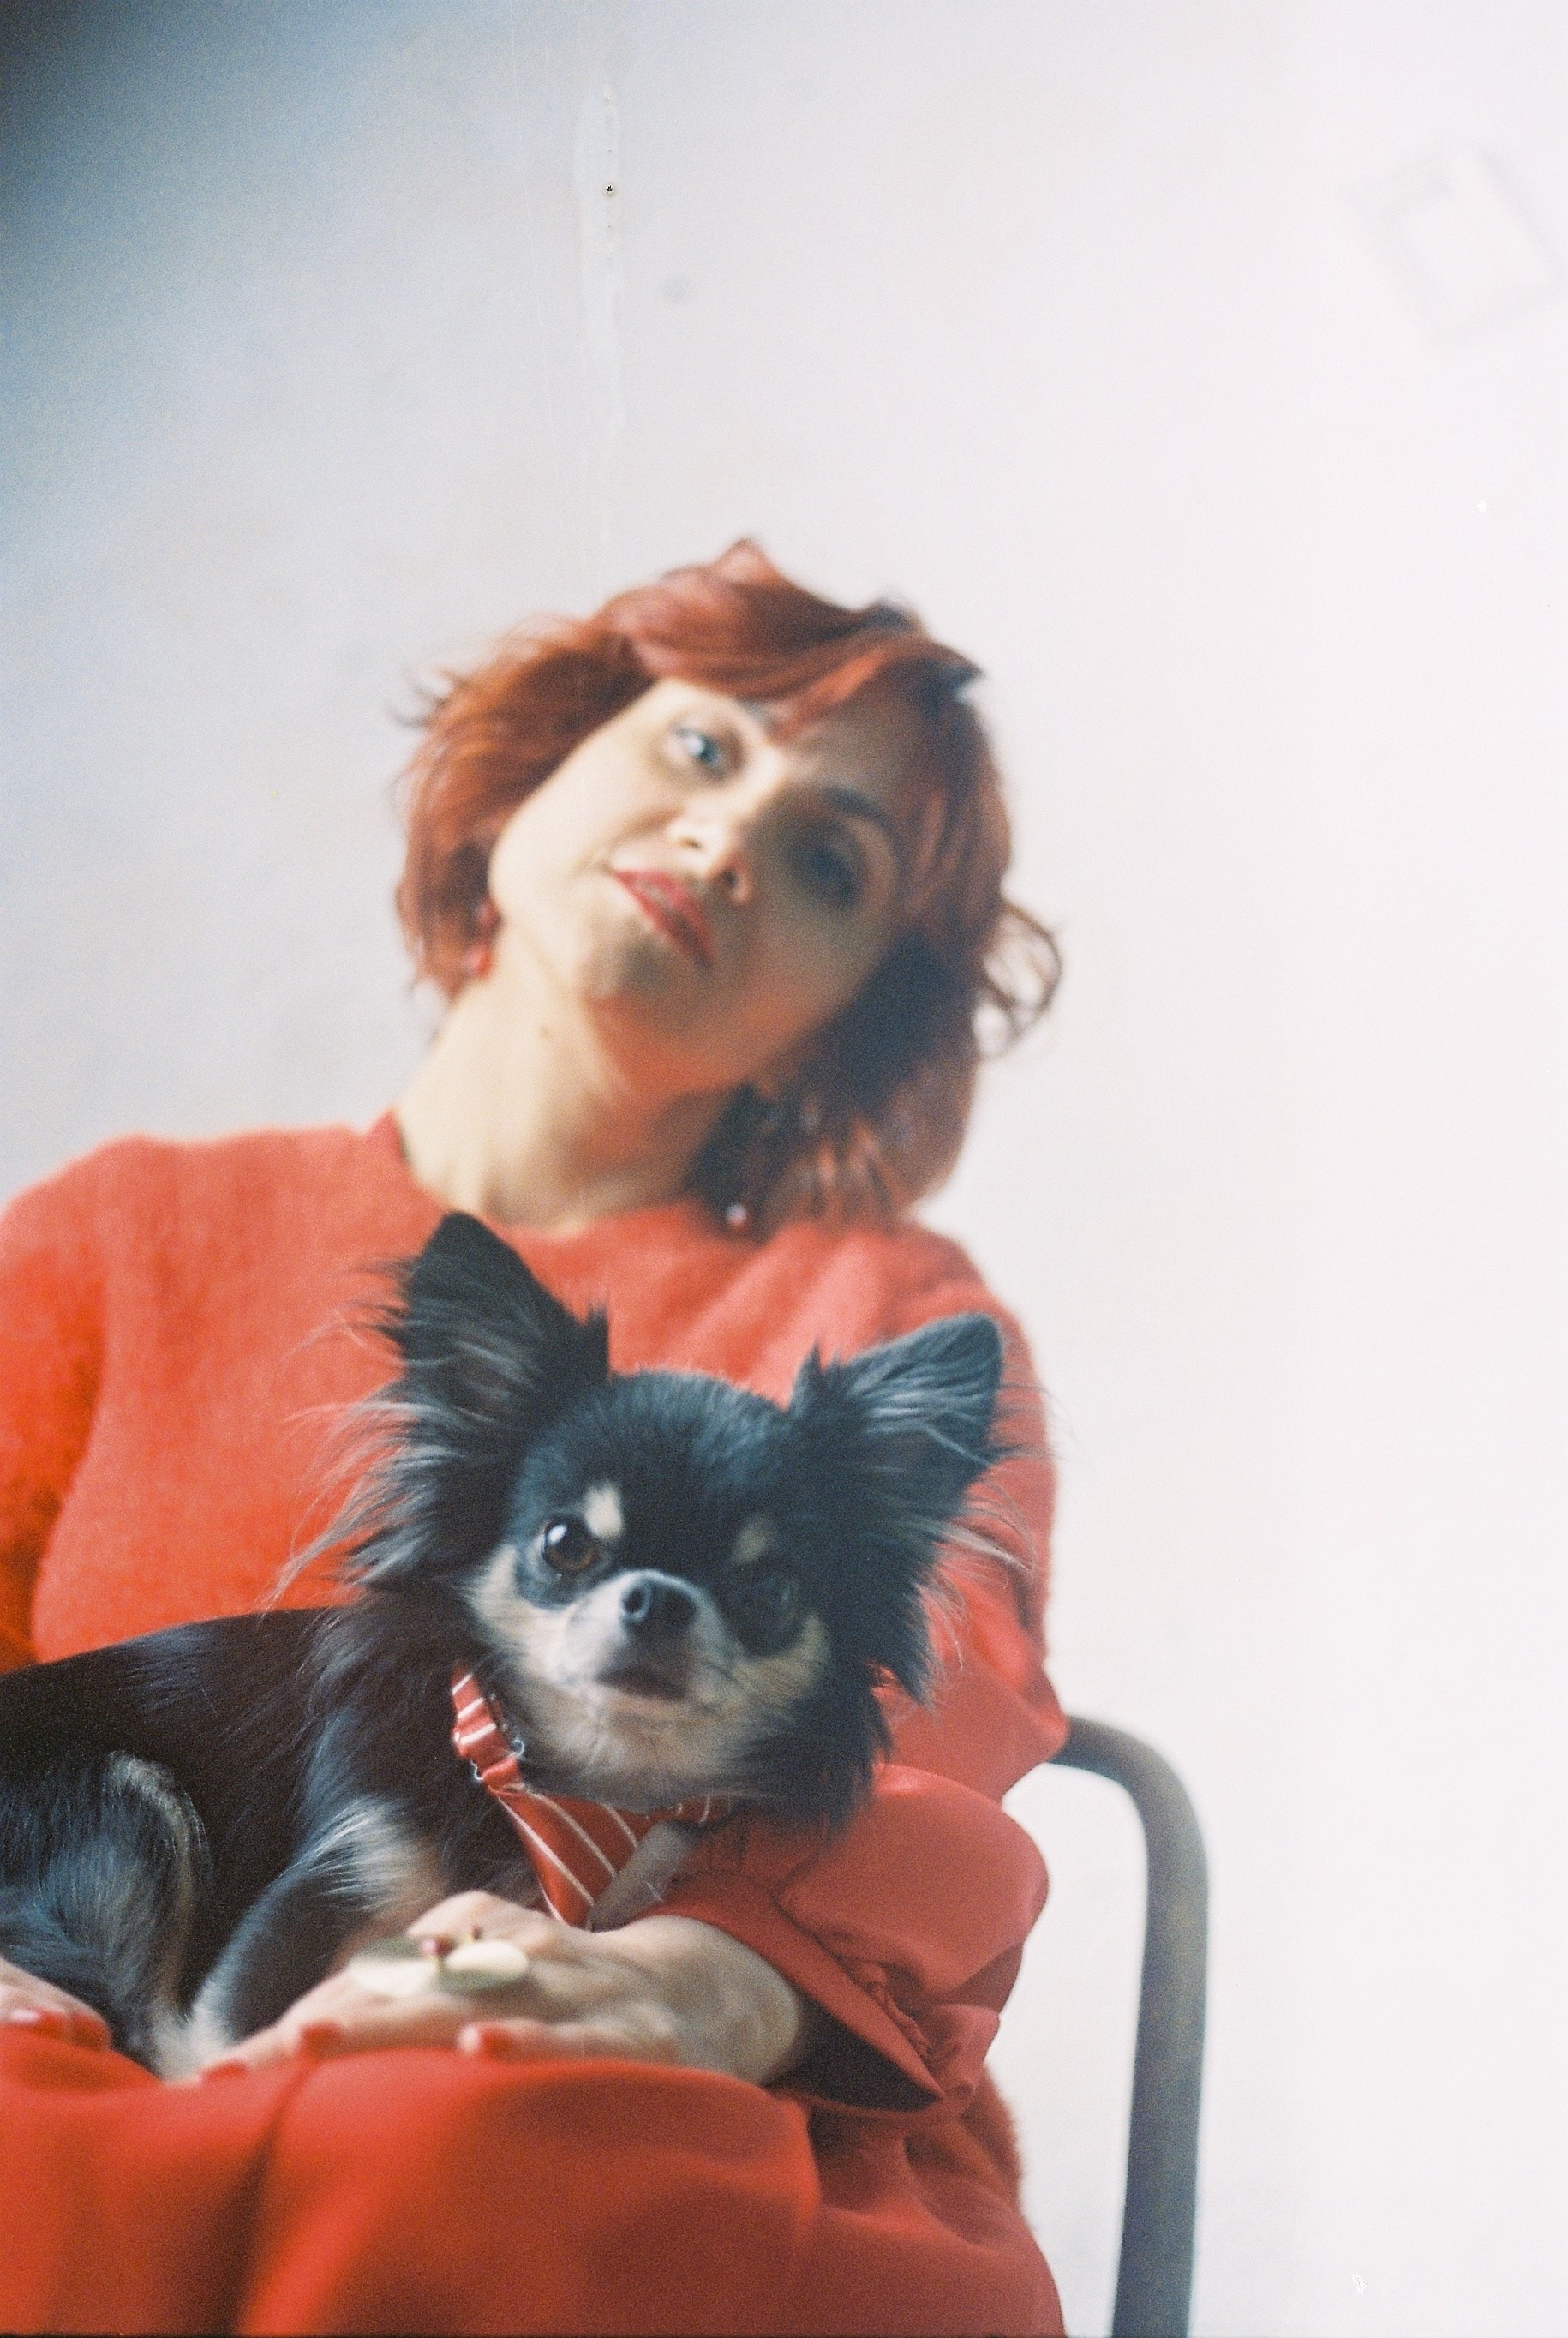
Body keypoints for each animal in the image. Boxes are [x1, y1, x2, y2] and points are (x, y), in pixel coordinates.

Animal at [0, 1212, 1004, 2078]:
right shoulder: (308, 1912)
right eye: (565, 1543)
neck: (582, 1785)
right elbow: (216, 2047)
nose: (658, 1599)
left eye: (770, 1591)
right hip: (119, 1804)